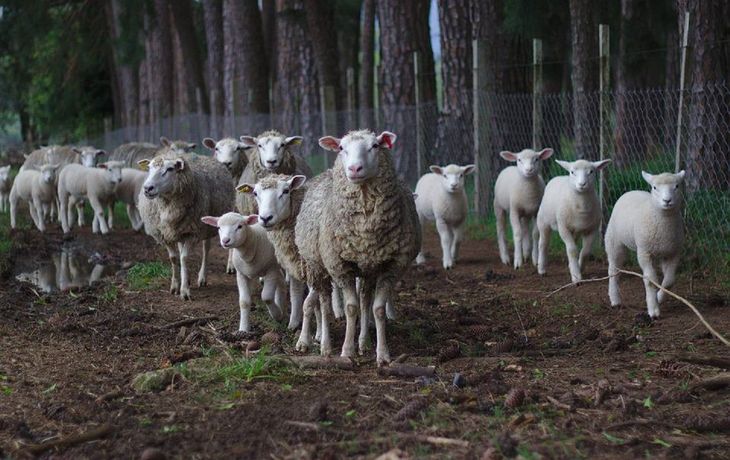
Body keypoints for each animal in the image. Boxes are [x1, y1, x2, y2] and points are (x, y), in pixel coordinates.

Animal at [137, 152, 234, 300]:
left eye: (170, 169)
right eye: (149, 168)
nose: (147, 188)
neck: (168, 207)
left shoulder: (192, 232)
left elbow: (184, 258)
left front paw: (184, 291)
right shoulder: (165, 234)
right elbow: (174, 258)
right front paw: (175, 285)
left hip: (207, 225)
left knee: (206, 249)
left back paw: (202, 277)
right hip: (179, 230)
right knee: (181, 248)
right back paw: (186, 278)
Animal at [304, 130, 421, 366]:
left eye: (375, 146)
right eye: (341, 148)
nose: (354, 169)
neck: (366, 231)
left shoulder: (391, 266)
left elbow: (377, 309)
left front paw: (382, 354)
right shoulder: (340, 266)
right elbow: (350, 308)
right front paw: (347, 351)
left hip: (368, 269)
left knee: (365, 299)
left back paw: (364, 341)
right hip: (319, 266)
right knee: (324, 302)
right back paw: (326, 345)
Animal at [605, 171, 686, 318]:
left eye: (677, 186)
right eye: (654, 187)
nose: (667, 201)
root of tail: (631, 191)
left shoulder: (673, 253)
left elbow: (669, 281)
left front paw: (658, 297)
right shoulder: (644, 252)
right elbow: (650, 280)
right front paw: (653, 309)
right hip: (614, 240)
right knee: (613, 269)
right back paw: (615, 299)